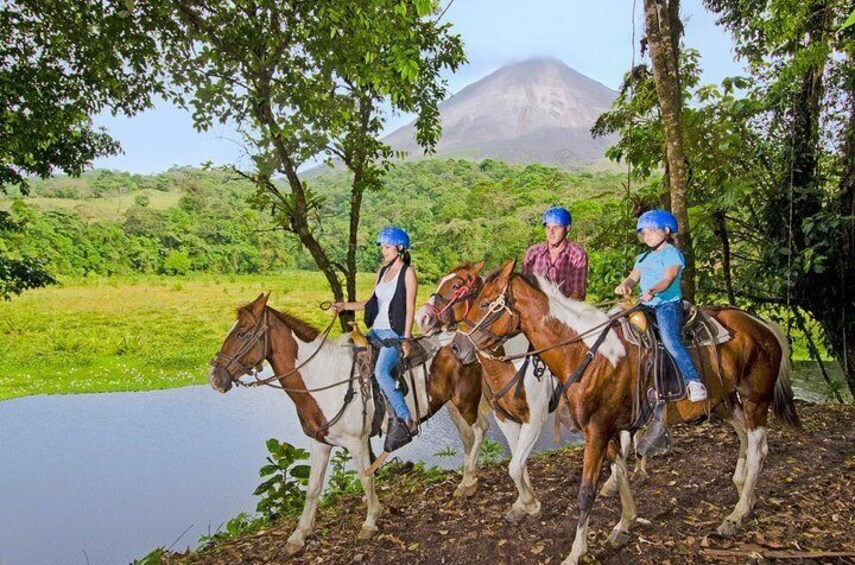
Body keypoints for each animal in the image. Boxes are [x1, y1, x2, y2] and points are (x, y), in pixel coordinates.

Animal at [208, 296, 488, 556]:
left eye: (242, 333)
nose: (214, 378)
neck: (322, 378)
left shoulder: (356, 441)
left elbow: (366, 478)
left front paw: (370, 521)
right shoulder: (319, 443)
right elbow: (313, 488)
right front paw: (299, 536)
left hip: (465, 400)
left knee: (479, 431)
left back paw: (466, 481)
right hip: (452, 404)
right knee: (467, 436)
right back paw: (469, 481)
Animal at [452, 264, 804, 564]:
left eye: (485, 304)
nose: (457, 347)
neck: (584, 352)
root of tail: (761, 324)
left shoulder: (594, 430)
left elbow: (585, 491)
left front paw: (576, 551)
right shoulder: (609, 428)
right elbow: (619, 472)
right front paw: (624, 525)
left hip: (755, 399)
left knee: (758, 447)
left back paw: (737, 514)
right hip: (724, 401)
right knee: (745, 437)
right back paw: (744, 491)